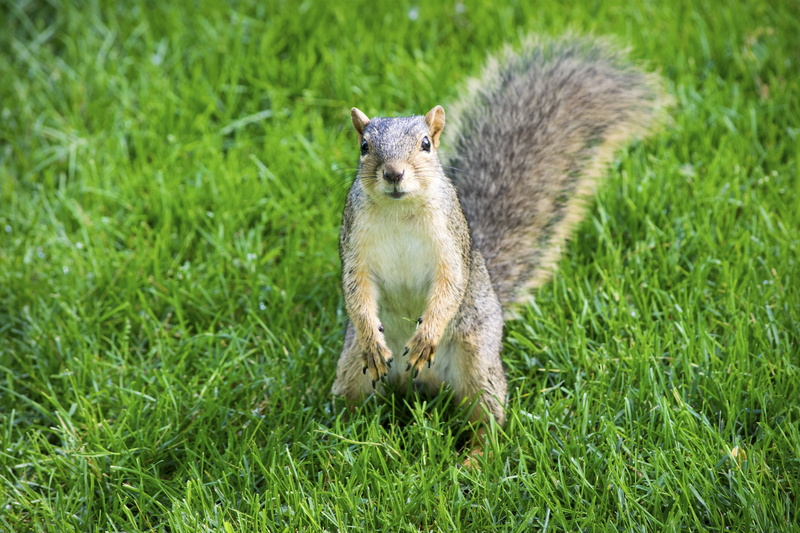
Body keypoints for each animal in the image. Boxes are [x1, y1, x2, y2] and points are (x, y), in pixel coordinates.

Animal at [331, 35, 669, 444]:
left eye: (426, 144)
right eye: (364, 147)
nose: (393, 174)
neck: (400, 211)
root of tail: (423, 385)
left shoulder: (452, 244)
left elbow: (451, 284)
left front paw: (427, 335)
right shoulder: (354, 245)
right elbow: (357, 290)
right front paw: (372, 338)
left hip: (478, 358)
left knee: (487, 422)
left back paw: (474, 454)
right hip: (352, 368)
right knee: (353, 402)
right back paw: (343, 437)